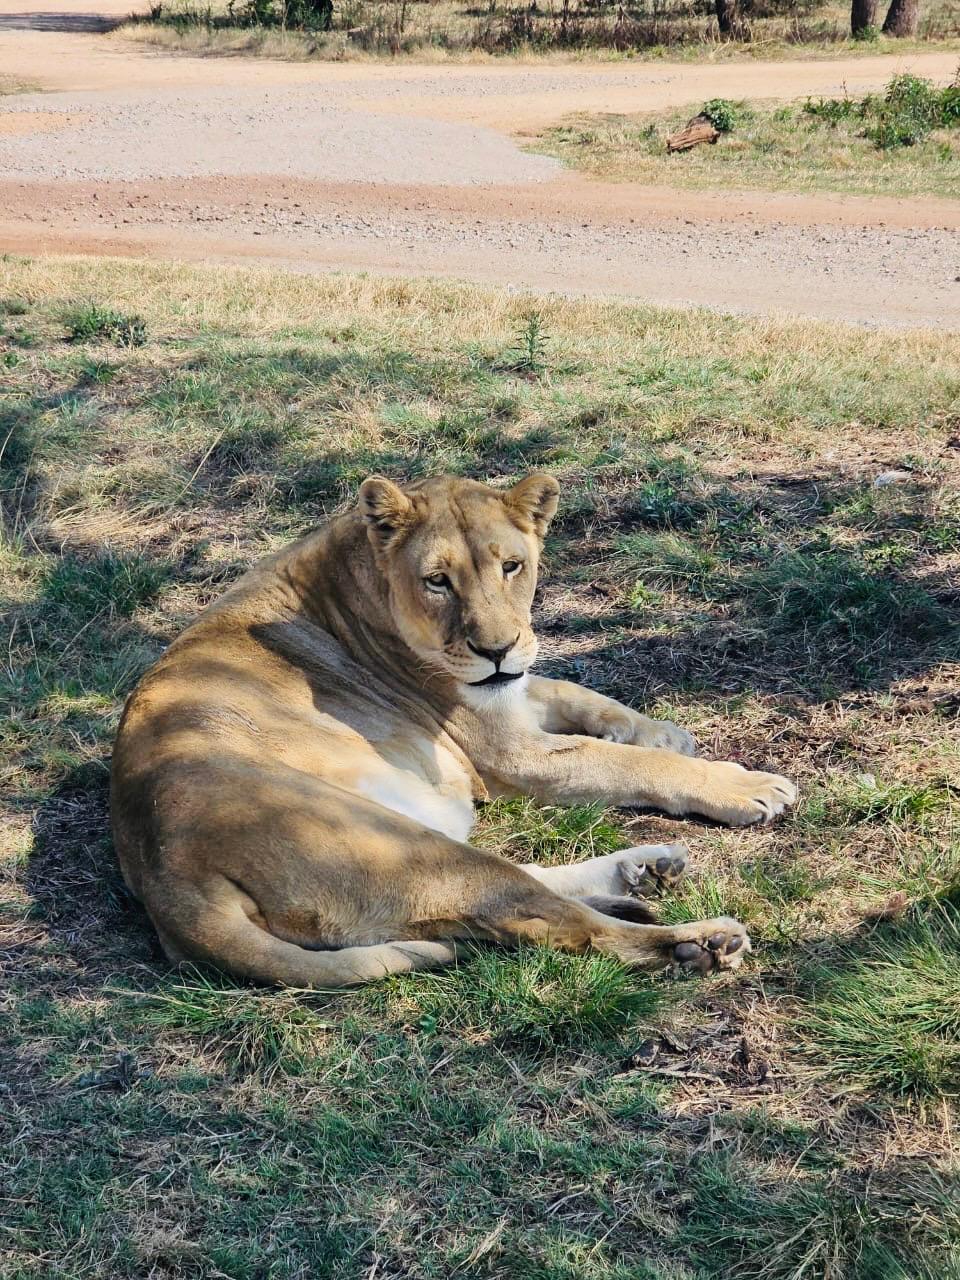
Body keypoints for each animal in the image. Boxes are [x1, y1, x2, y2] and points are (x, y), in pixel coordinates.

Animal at [111, 472, 796, 987]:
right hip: (399, 841)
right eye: (437, 580)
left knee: (521, 892)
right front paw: (746, 786)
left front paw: (662, 731)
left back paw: (646, 868)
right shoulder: (509, 751)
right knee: (556, 923)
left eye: (513, 566)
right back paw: (698, 940)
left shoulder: (512, 695)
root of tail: (169, 883)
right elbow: (623, 762)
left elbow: (578, 695)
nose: (495, 649)